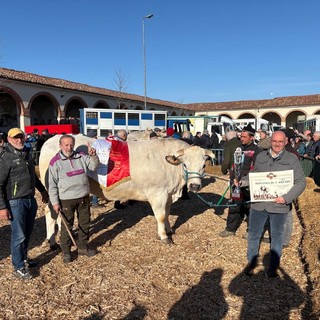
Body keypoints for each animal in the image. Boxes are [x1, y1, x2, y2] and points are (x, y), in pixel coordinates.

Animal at [39, 134, 215, 242]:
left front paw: (169, 230)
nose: (194, 185)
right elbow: (160, 216)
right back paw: (51, 239)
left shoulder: (169, 194)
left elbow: (167, 213)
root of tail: (51, 140)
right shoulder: (158, 193)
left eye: (203, 165)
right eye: (185, 164)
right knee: (51, 212)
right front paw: (164, 236)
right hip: (52, 190)